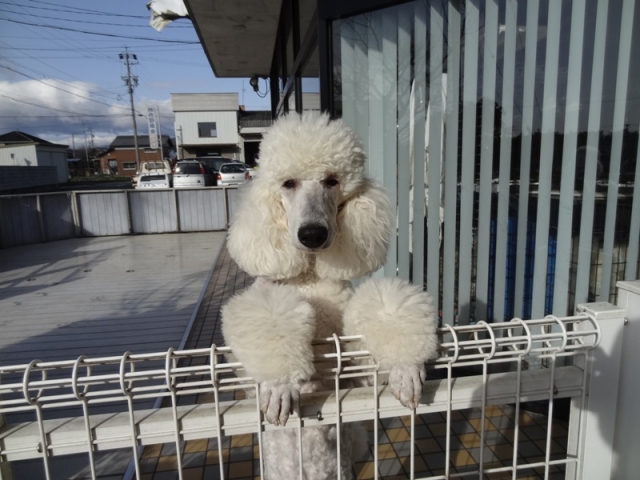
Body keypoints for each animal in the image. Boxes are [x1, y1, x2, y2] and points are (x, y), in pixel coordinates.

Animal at [222, 112, 438, 479]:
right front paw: (279, 385)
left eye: (332, 181)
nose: (312, 235)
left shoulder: (354, 369)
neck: (310, 277)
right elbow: (268, 322)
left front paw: (406, 367)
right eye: (288, 183)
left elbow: (382, 311)